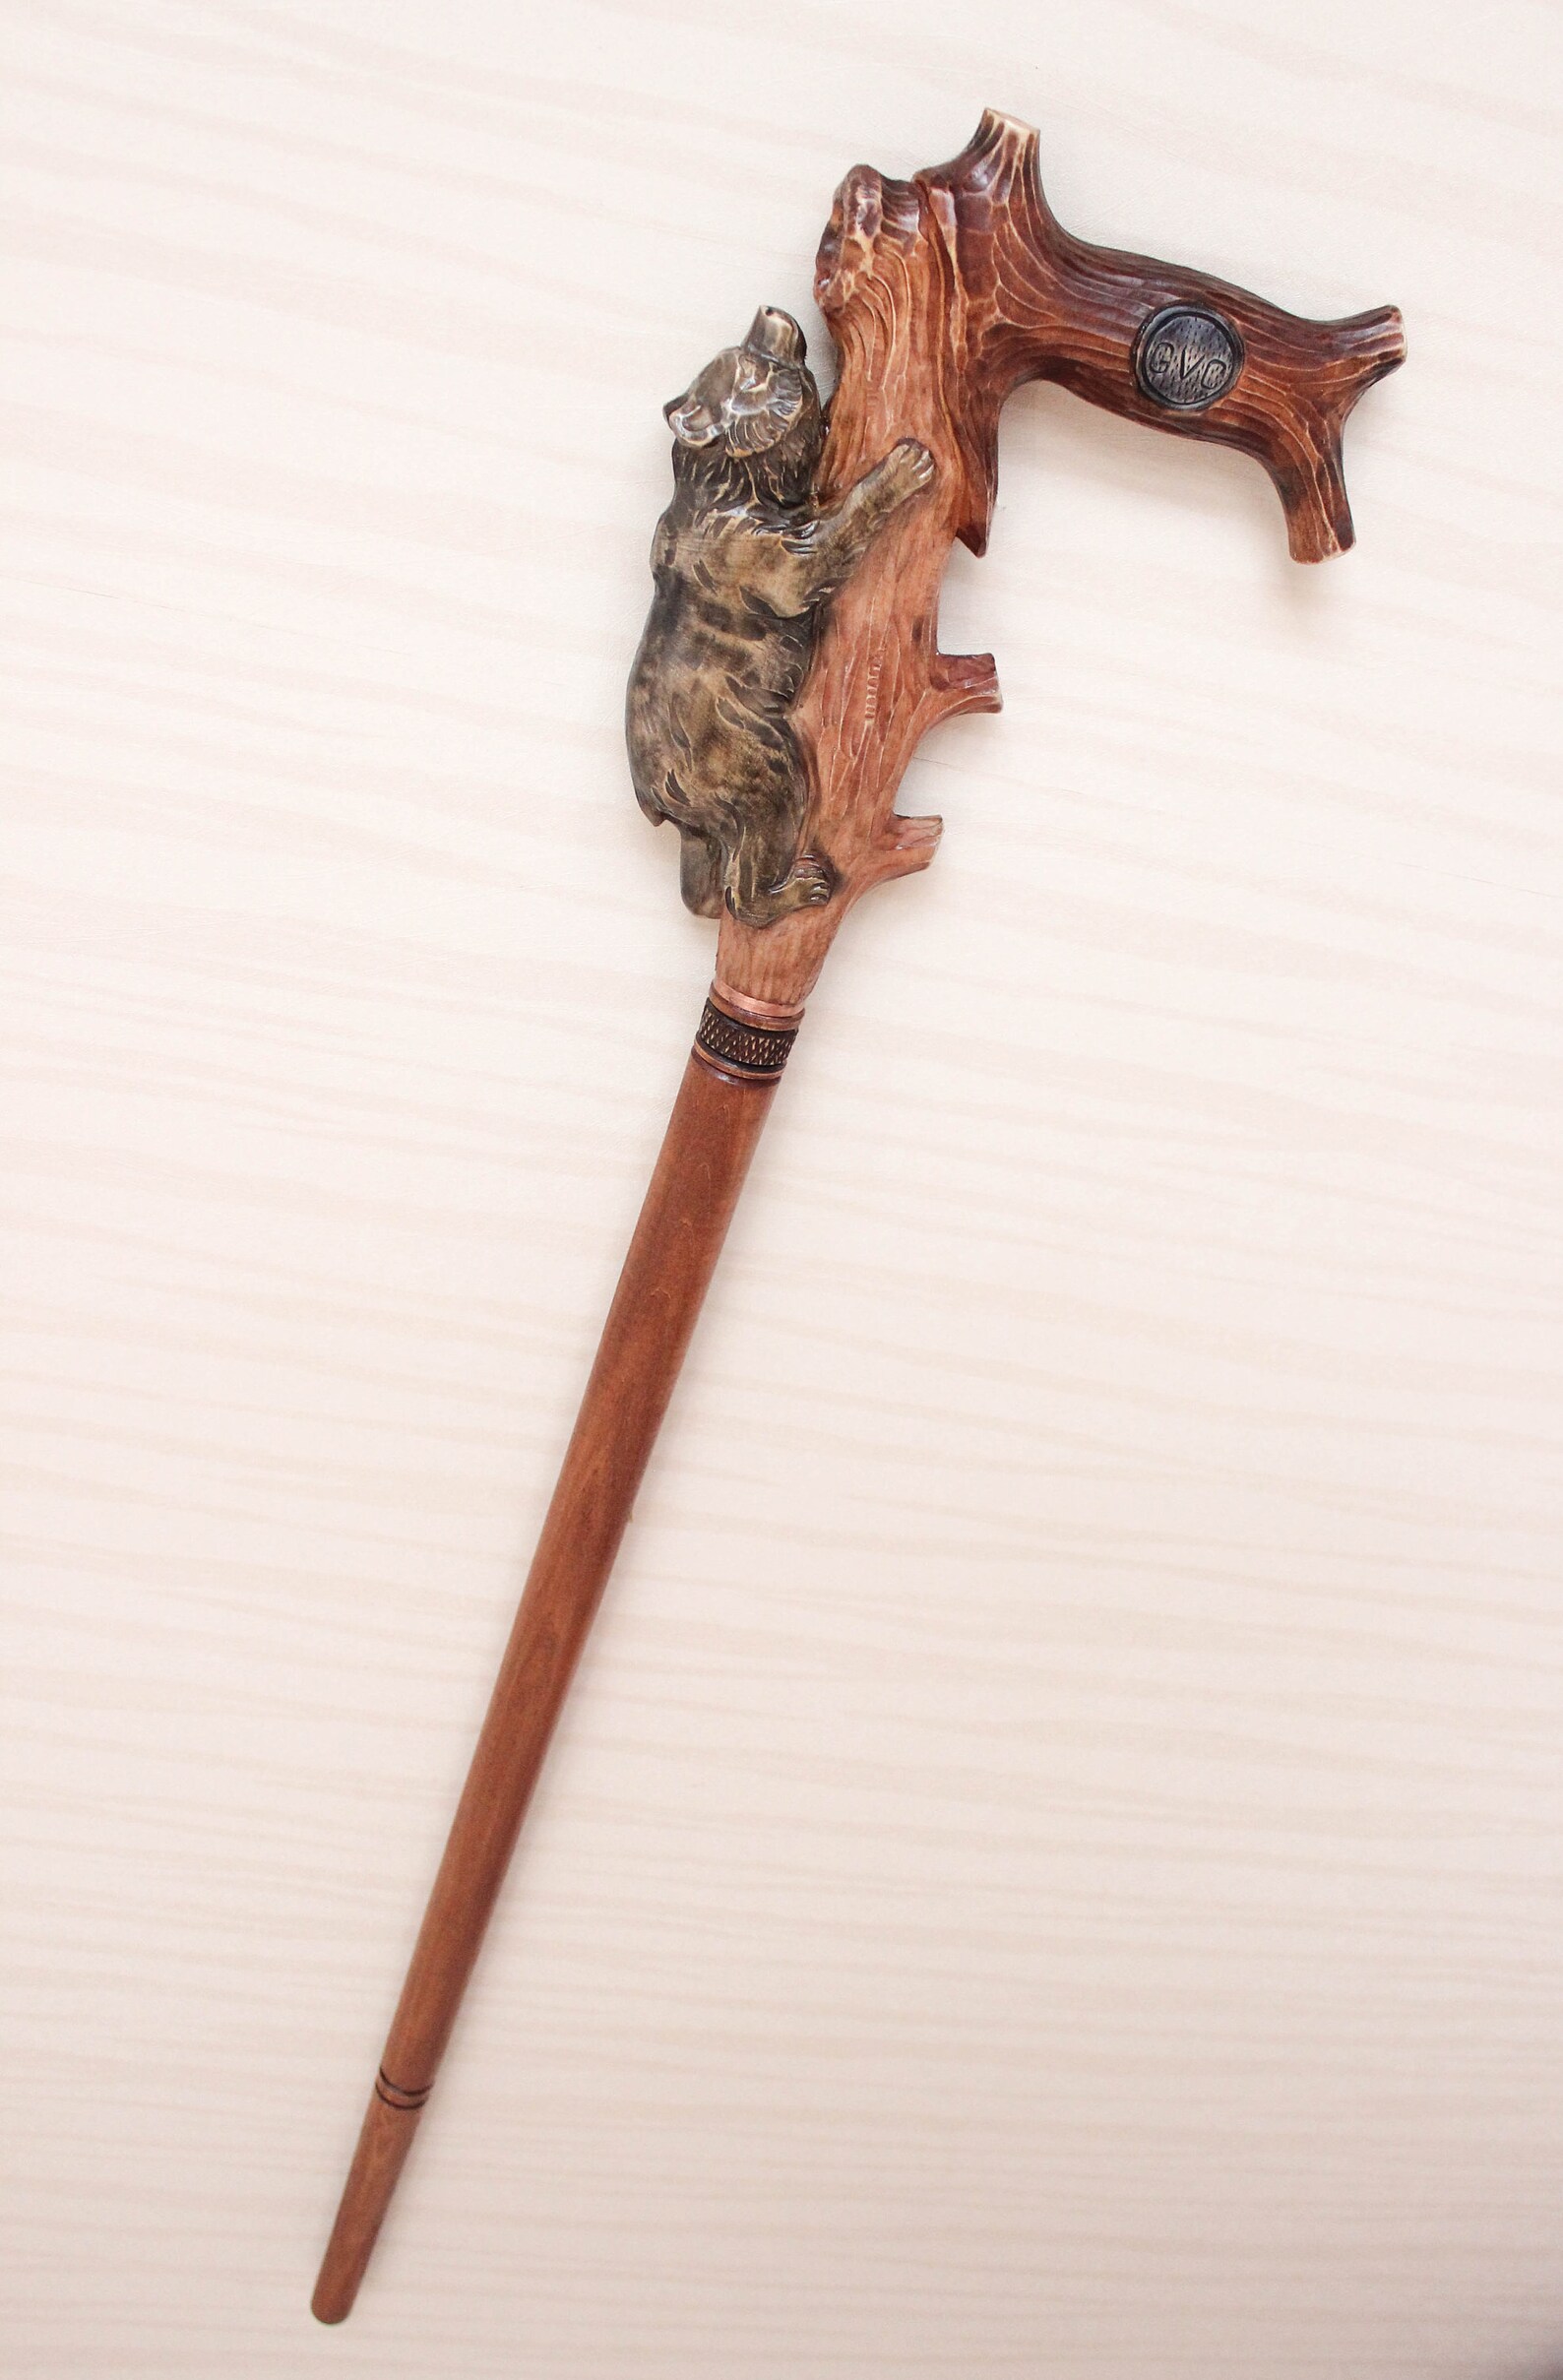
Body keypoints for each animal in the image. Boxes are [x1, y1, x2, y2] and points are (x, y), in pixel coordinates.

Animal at [625, 305, 934, 927]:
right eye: (749, 370)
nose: (770, 311)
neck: (730, 483)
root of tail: (653, 793)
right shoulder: (770, 561)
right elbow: (834, 536)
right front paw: (905, 464)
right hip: (761, 766)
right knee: (750, 868)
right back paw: (796, 890)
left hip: (705, 819)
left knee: (703, 876)